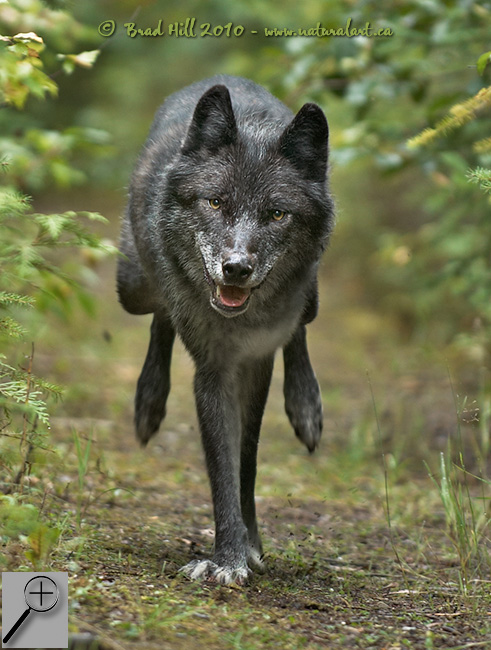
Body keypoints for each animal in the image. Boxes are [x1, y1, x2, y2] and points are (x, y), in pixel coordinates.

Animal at [117, 75, 334, 585]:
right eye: (215, 202)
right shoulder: (213, 370)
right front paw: (228, 556)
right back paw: (148, 403)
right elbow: (221, 464)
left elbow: (245, 459)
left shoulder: (255, 362)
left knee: (300, 327)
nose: (236, 268)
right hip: (132, 287)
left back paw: (306, 408)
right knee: (160, 312)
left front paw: (246, 546)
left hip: (311, 296)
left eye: (277, 214)